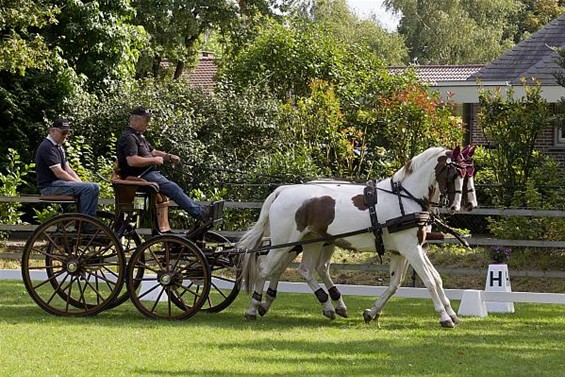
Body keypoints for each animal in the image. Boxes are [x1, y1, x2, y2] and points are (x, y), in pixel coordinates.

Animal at [236, 146, 474, 326]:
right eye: (455, 174)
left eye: (469, 173)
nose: (461, 206)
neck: (405, 198)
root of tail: (282, 190)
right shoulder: (410, 249)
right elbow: (429, 280)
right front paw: (445, 317)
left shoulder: (405, 250)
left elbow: (411, 282)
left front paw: (371, 312)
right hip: (284, 242)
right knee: (265, 269)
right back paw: (253, 308)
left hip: (312, 242)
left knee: (305, 270)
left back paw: (328, 306)